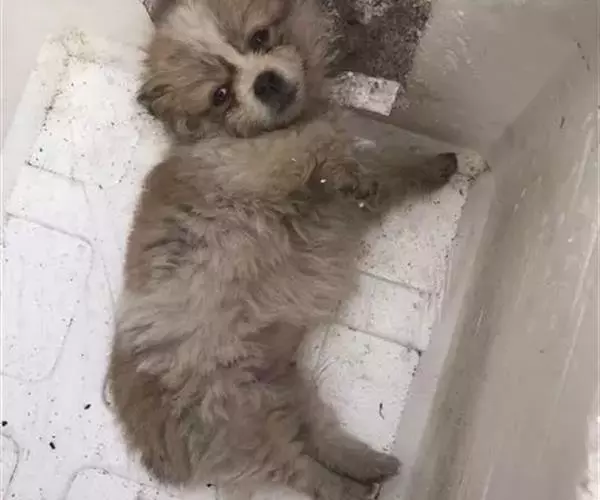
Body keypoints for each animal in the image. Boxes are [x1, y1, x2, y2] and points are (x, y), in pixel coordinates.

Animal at [107, 0, 457, 498]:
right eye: (220, 95)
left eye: (260, 39)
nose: (265, 81)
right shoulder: (262, 166)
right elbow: (325, 147)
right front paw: (354, 158)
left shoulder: (343, 201)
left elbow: (380, 170)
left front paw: (425, 165)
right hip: (240, 415)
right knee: (301, 471)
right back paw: (350, 487)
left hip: (284, 389)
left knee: (317, 435)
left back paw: (368, 464)